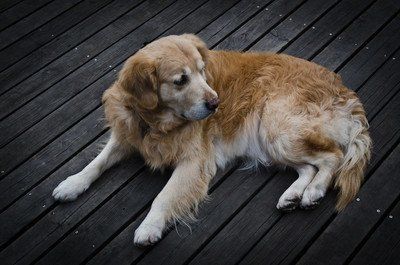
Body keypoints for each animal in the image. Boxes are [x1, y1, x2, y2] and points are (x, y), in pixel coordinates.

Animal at [53, 33, 372, 245]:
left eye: (202, 71)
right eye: (181, 80)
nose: (216, 103)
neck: (156, 124)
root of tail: (346, 91)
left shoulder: (194, 161)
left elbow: (163, 196)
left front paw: (150, 226)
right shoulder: (127, 135)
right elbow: (96, 162)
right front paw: (72, 184)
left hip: (278, 127)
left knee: (332, 157)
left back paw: (313, 192)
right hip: (273, 140)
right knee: (308, 167)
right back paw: (292, 195)